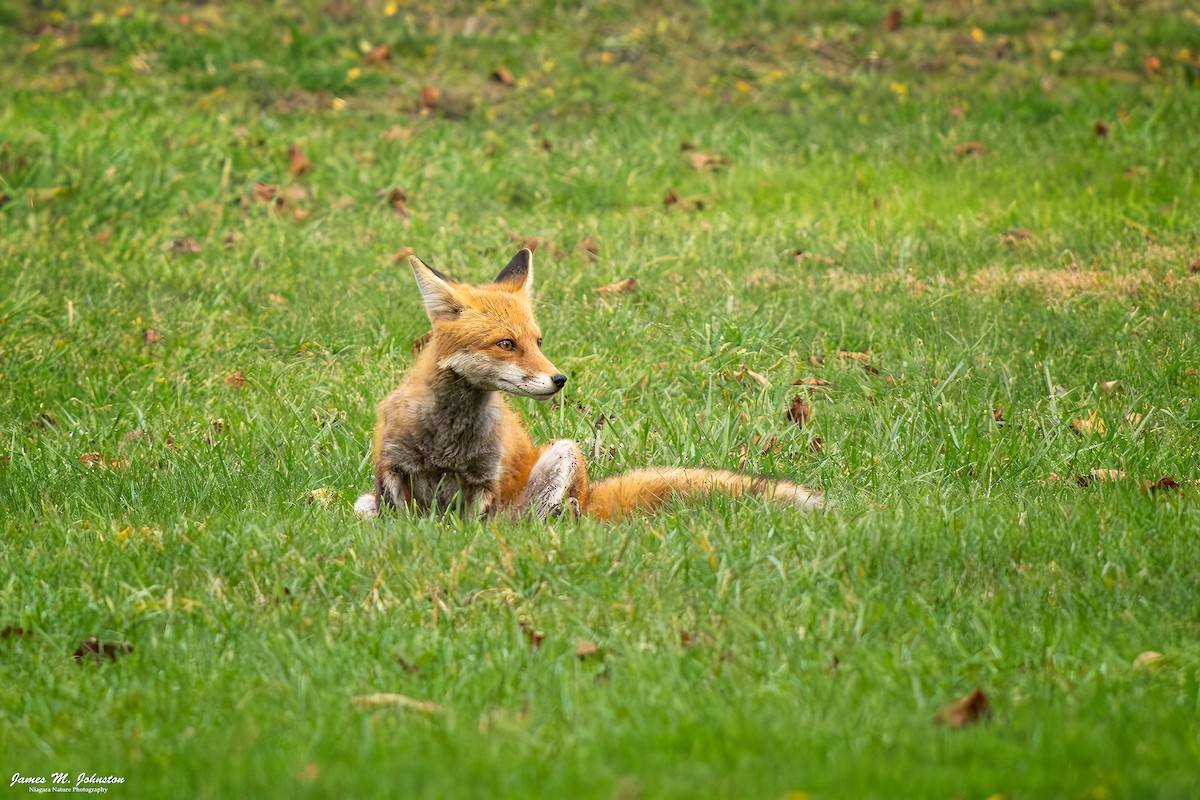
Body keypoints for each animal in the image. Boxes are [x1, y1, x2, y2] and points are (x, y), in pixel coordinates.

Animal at [353, 248, 824, 521]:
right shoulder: (390, 469)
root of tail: (592, 493)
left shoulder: (483, 482)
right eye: (506, 344)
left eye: (538, 341)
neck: (446, 436)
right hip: (364, 503)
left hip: (563, 456)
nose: (559, 379)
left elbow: (472, 528)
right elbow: (397, 521)